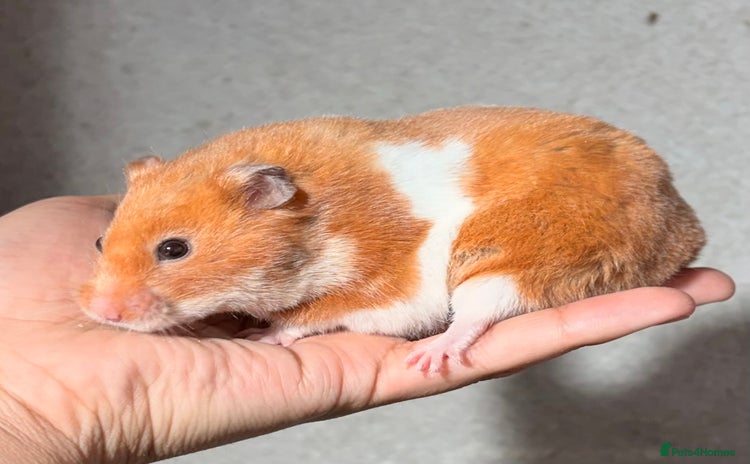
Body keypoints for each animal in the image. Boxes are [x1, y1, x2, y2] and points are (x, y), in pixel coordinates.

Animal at [79, 106, 705, 372]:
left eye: (174, 249)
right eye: (99, 243)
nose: (104, 314)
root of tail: (685, 227)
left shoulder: (391, 282)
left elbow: (316, 313)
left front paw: (267, 333)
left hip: (521, 255)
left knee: (478, 311)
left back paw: (433, 355)